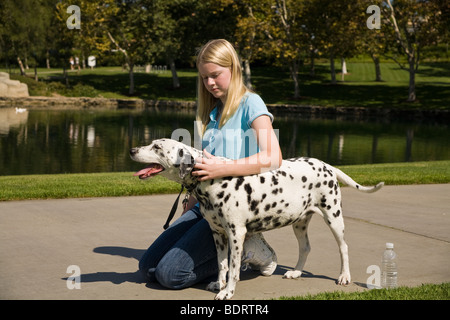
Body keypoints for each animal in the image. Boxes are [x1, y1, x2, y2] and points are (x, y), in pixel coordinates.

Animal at [129, 138, 384, 300]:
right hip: (300, 224)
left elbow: (233, 269)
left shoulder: (236, 234)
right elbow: (222, 266)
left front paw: (228, 292)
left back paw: (344, 276)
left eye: (157, 146)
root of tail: (328, 165)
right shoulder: (217, 235)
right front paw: (219, 284)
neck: (212, 180)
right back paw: (296, 272)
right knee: (305, 248)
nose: (131, 150)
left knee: (344, 248)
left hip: (334, 217)